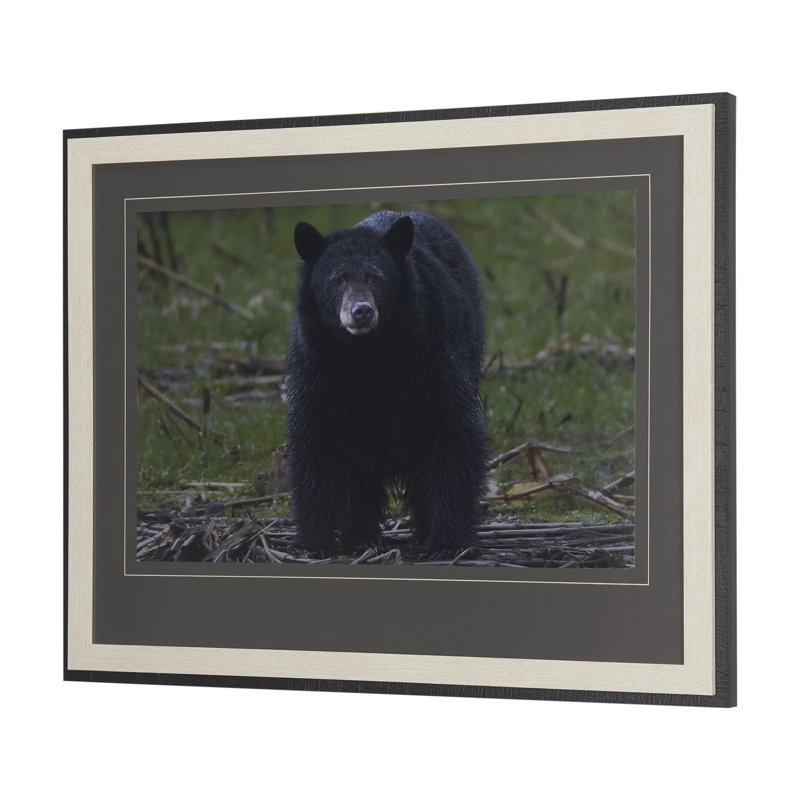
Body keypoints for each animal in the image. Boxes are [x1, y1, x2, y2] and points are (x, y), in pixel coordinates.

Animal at [284, 210, 487, 558]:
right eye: (337, 279)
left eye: (376, 277)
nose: (361, 311)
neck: (368, 355)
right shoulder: (318, 367)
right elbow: (317, 438)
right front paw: (315, 540)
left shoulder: (433, 353)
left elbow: (450, 431)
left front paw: (449, 541)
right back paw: (359, 533)